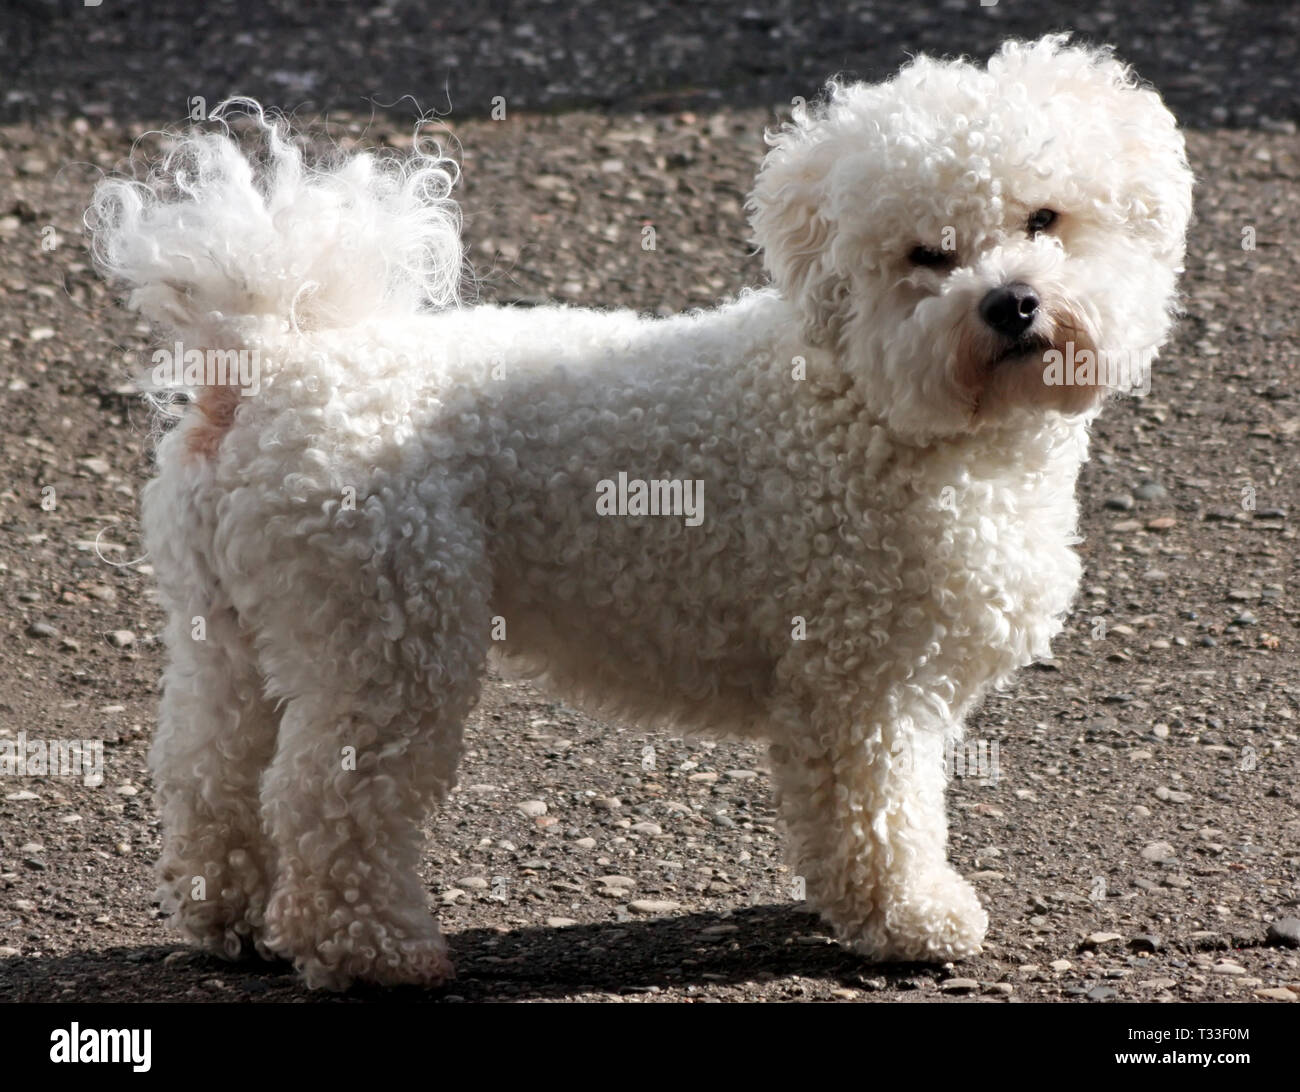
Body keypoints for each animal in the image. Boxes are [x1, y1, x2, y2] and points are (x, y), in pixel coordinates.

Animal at [89, 34, 1190, 987]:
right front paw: (910, 920)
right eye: (926, 254)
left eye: (1044, 219)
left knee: (209, 772)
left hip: (233, 631)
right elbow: (877, 816)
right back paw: (374, 953)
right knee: (328, 795)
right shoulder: (860, 685)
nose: (1010, 303)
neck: (874, 404)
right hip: (388, 630)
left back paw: (231, 920)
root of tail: (264, 369)